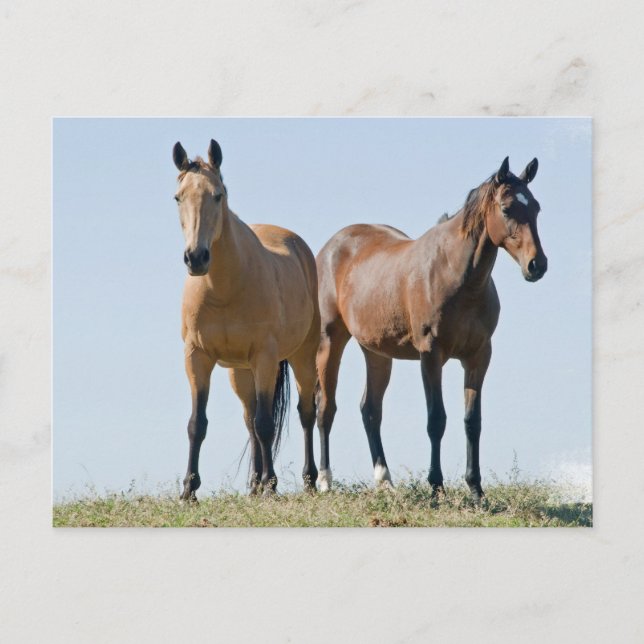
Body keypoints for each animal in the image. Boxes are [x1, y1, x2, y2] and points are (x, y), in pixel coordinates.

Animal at [172, 139, 321, 500]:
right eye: (178, 197)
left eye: (218, 195)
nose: (196, 258)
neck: (225, 288)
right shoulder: (197, 357)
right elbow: (197, 424)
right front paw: (189, 490)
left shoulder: (264, 358)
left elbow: (267, 424)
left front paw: (271, 486)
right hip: (239, 372)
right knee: (250, 418)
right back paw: (254, 484)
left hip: (301, 356)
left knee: (306, 413)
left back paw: (308, 481)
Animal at [315, 157, 547, 500]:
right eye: (506, 209)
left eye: (536, 208)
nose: (537, 265)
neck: (457, 277)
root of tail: (330, 248)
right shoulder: (431, 354)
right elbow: (436, 419)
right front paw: (436, 486)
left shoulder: (478, 355)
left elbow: (472, 421)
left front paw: (476, 489)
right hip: (331, 341)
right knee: (325, 408)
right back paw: (324, 481)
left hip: (377, 353)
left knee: (370, 409)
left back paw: (385, 482)